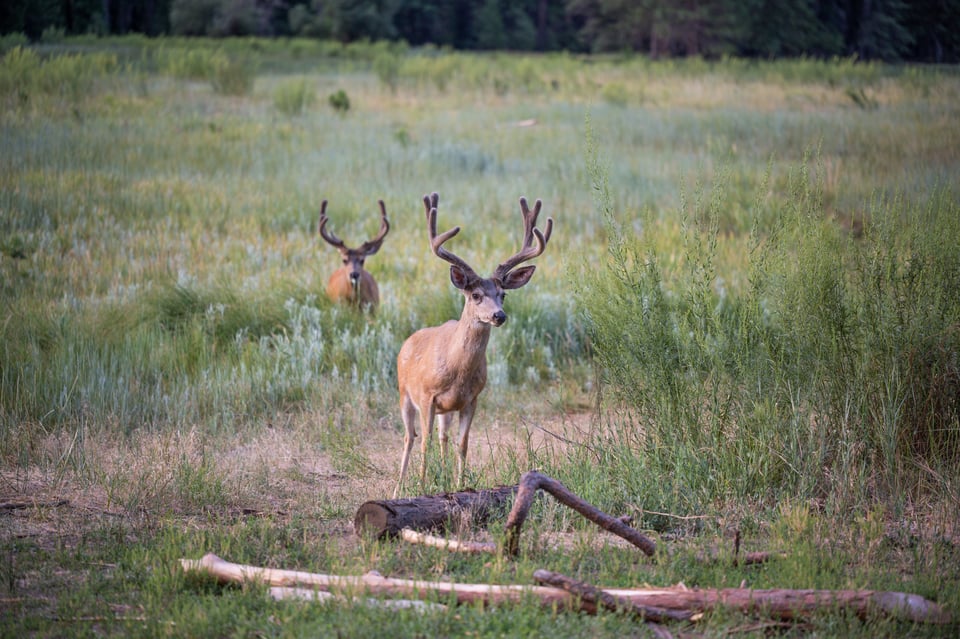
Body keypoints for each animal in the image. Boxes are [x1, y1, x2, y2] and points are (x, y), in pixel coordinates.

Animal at [392, 192, 556, 498]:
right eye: (476, 295)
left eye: (503, 294)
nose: (499, 315)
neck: (457, 369)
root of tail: (408, 341)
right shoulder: (427, 396)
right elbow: (424, 442)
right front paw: (420, 488)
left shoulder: (471, 399)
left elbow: (462, 444)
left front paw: (459, 487)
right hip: (404, 393)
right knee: (410, 437)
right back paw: (398, 491)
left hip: (445, 409)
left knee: (443, 437)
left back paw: (443, 480)